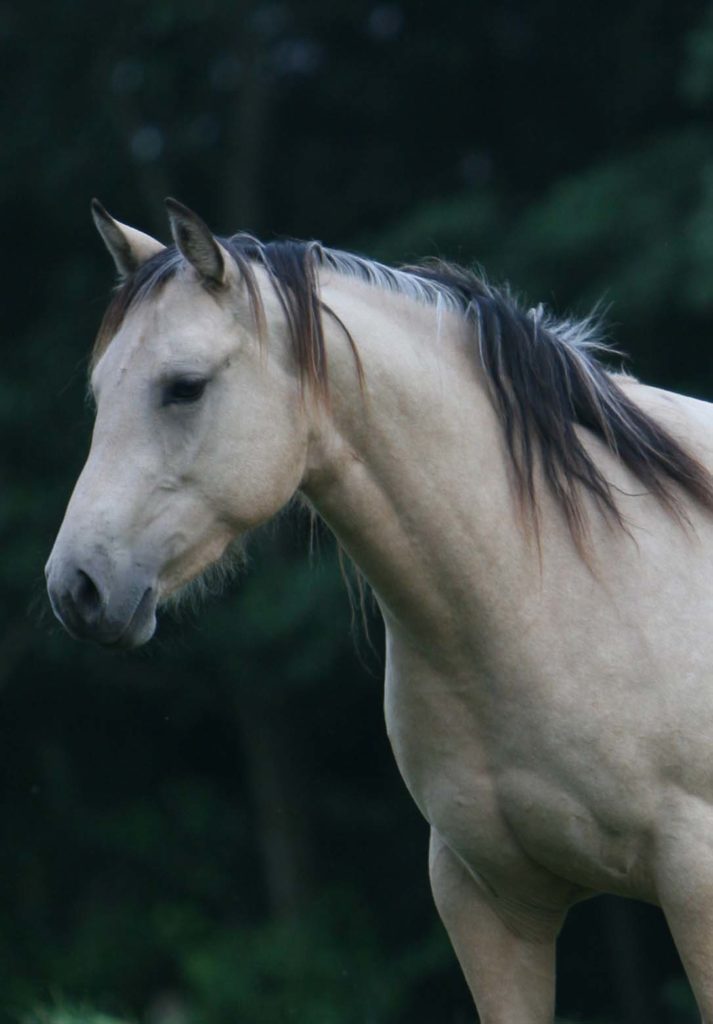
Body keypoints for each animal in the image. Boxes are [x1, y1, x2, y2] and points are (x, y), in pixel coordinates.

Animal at [45, 195, 713, 1019]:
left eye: (185, 386)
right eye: (101, 390)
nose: (76, 586)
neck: (560, 586)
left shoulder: (695, 883)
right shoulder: (487, 902)